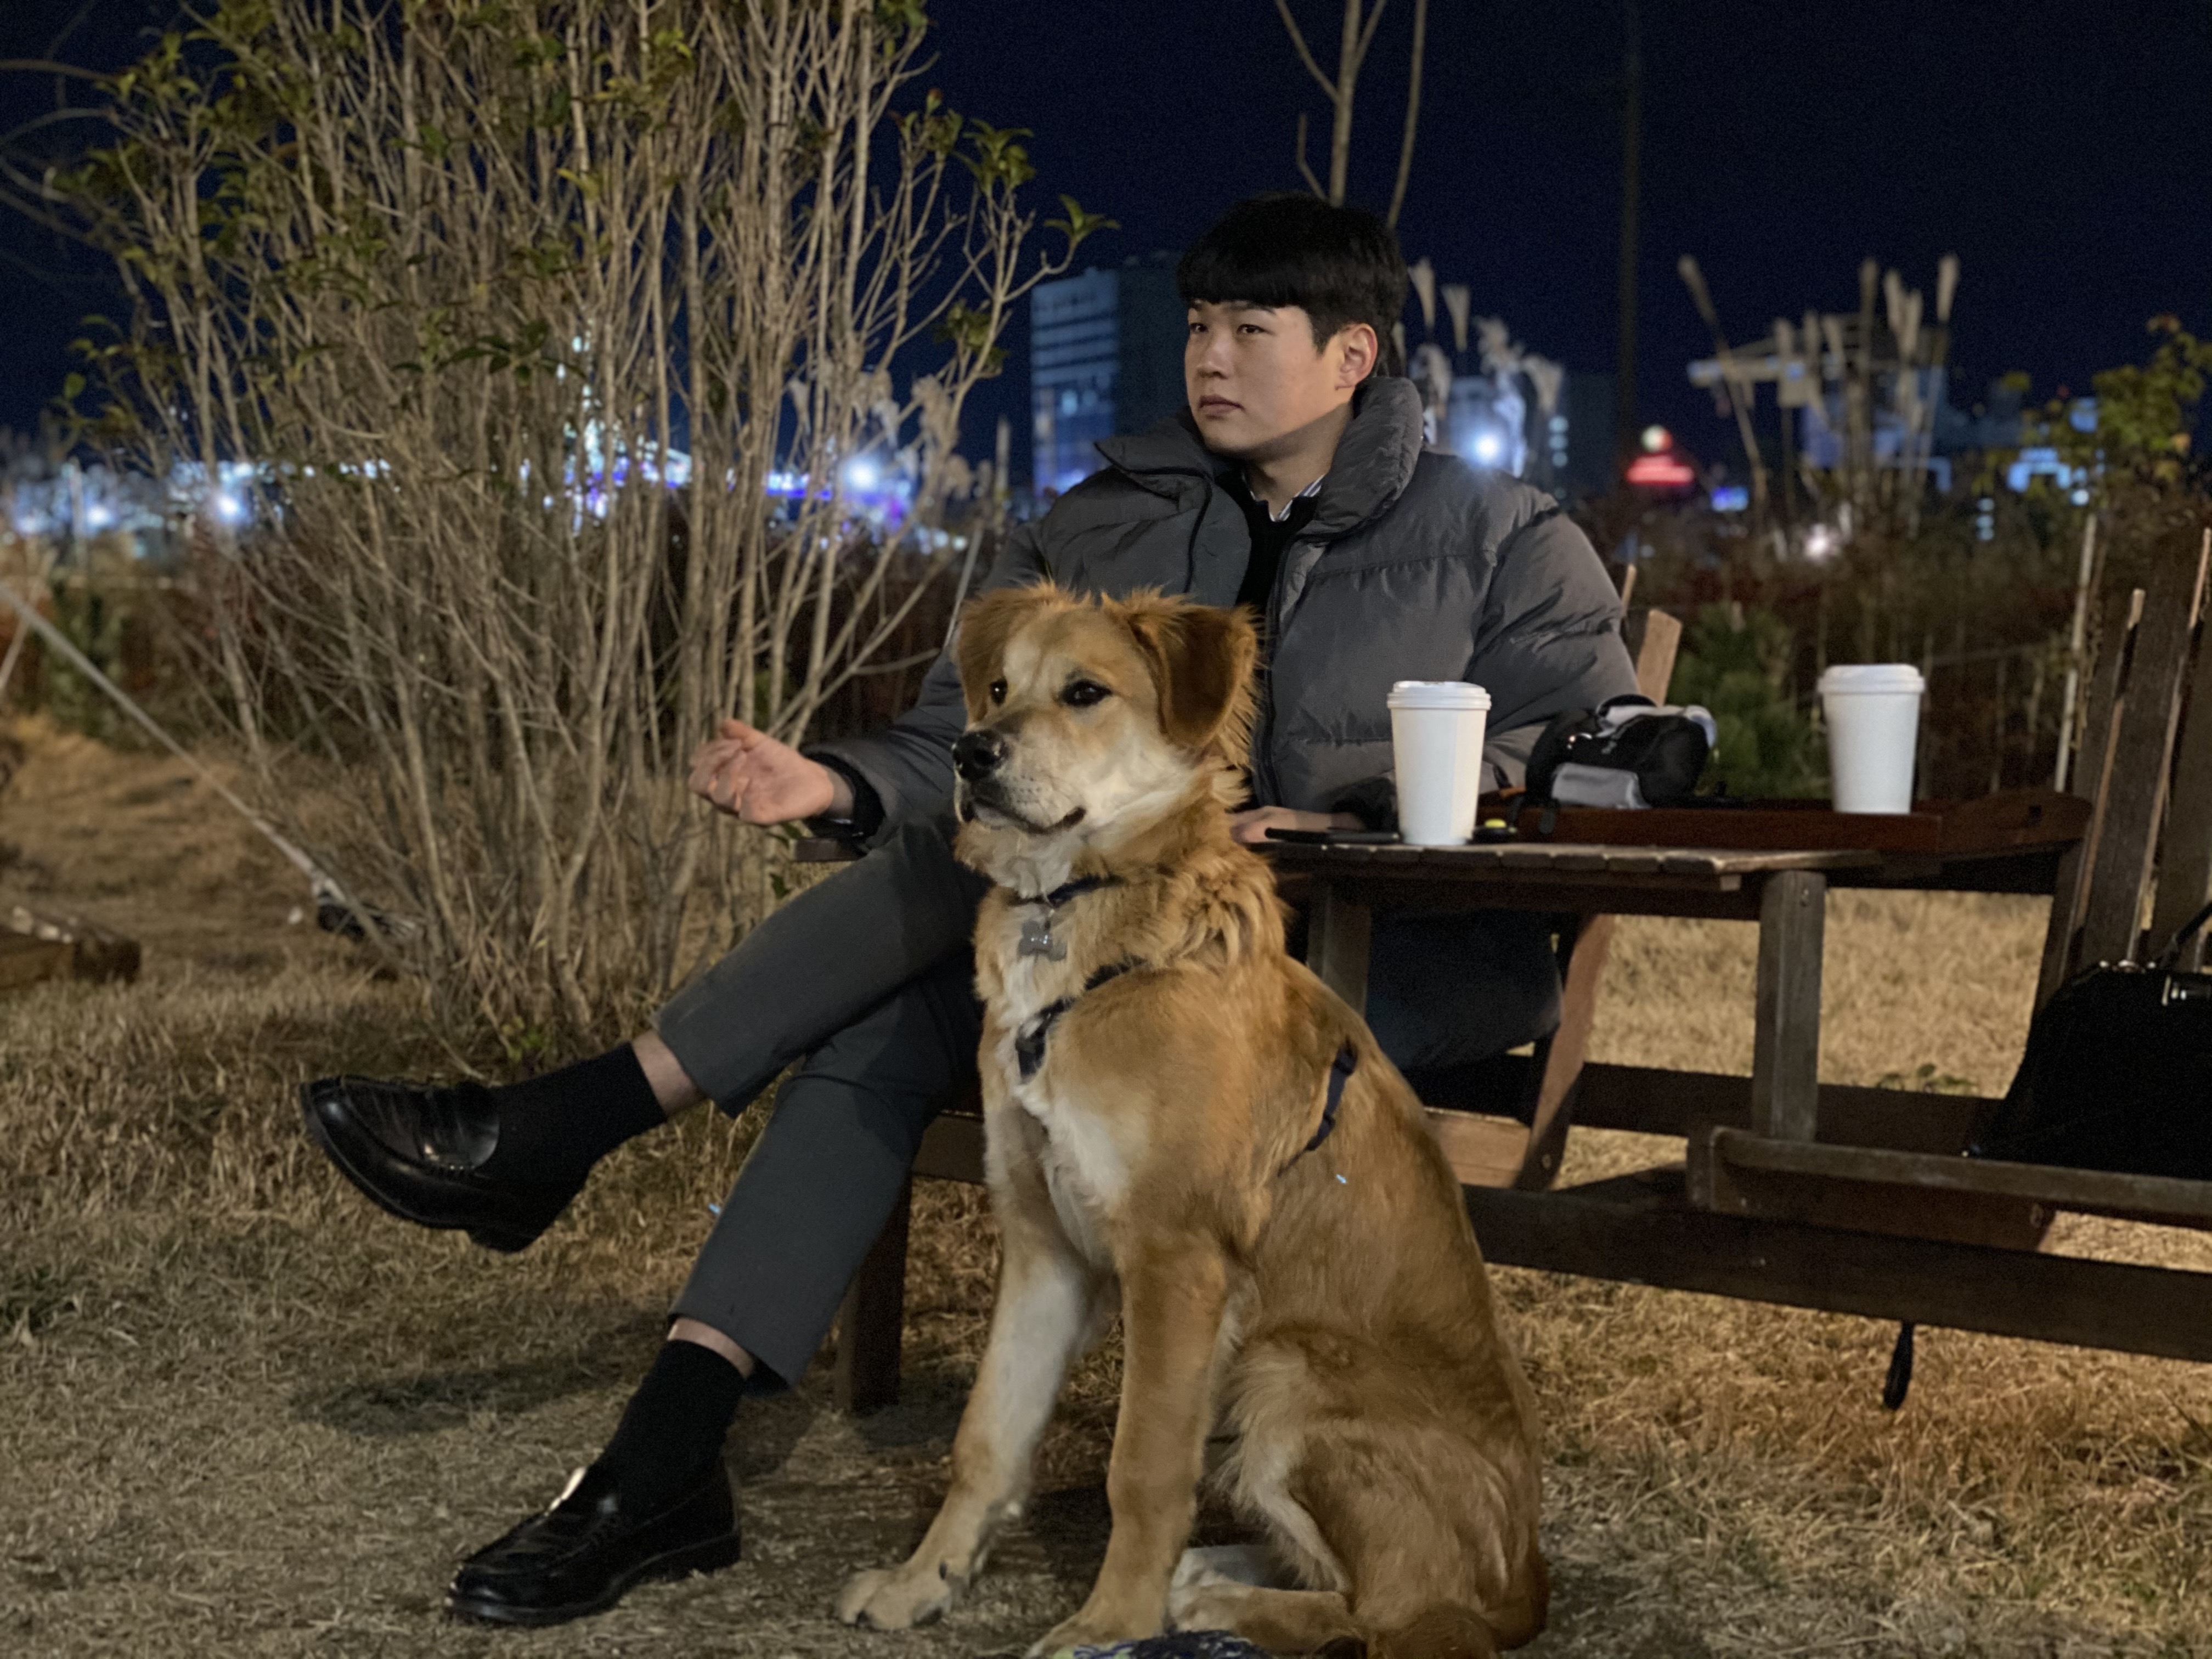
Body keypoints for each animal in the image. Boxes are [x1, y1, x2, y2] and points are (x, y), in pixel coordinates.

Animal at [836, 585, 1546, 1658]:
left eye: (1085, 693)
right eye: (997, 688)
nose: (970, 752)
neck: (1085, 925)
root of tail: (1529, 1581)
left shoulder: (1177, 1257)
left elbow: (1143, 1467)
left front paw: (1108, 1624)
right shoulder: (1044, 1245)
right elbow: (987, 1436)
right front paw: (927, 1580)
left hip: (1284, 1371)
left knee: (1395, 1609)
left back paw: (1215, 1602)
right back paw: (1208, 1573)